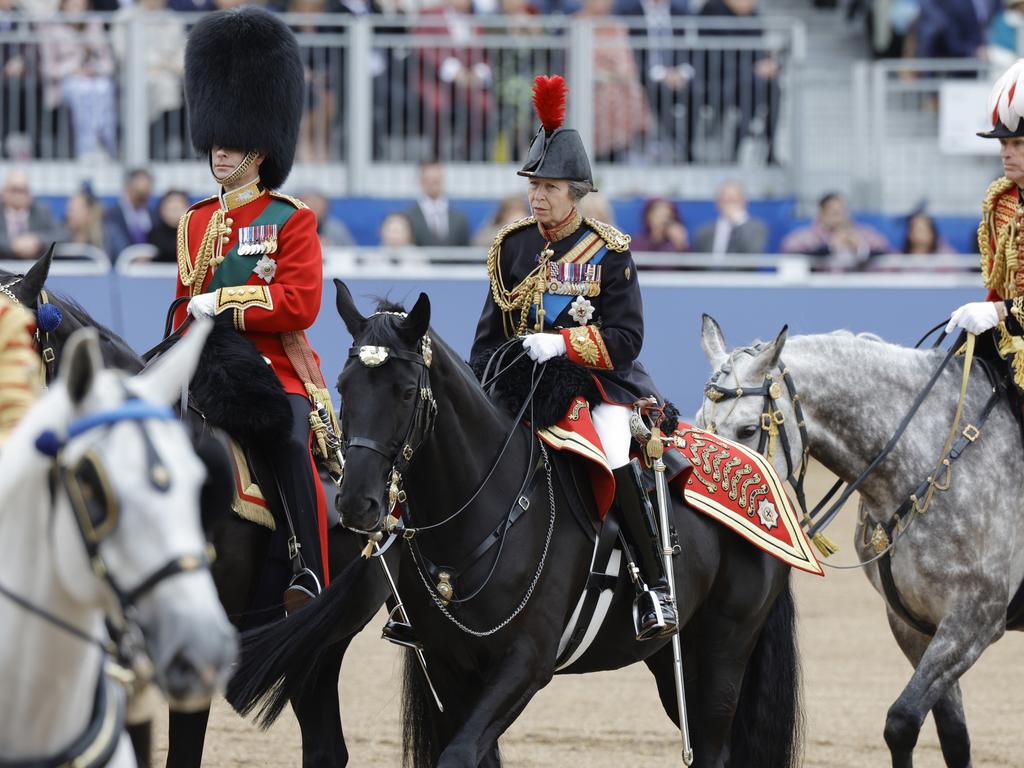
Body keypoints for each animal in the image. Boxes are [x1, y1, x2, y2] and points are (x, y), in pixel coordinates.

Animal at [232, 282, 806, 768]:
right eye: (344, 385)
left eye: (405, 391)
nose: (355, 503)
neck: (485, 512)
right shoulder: (449, 667)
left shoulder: (526, 663)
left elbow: (459, 756)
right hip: (671, 658)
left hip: (724, 650)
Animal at [696, 315, 1024, 765]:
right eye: (698, 423)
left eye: (747, 429)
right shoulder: (914, 625)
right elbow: (952, 735)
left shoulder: (974, 620)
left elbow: (902, 721)